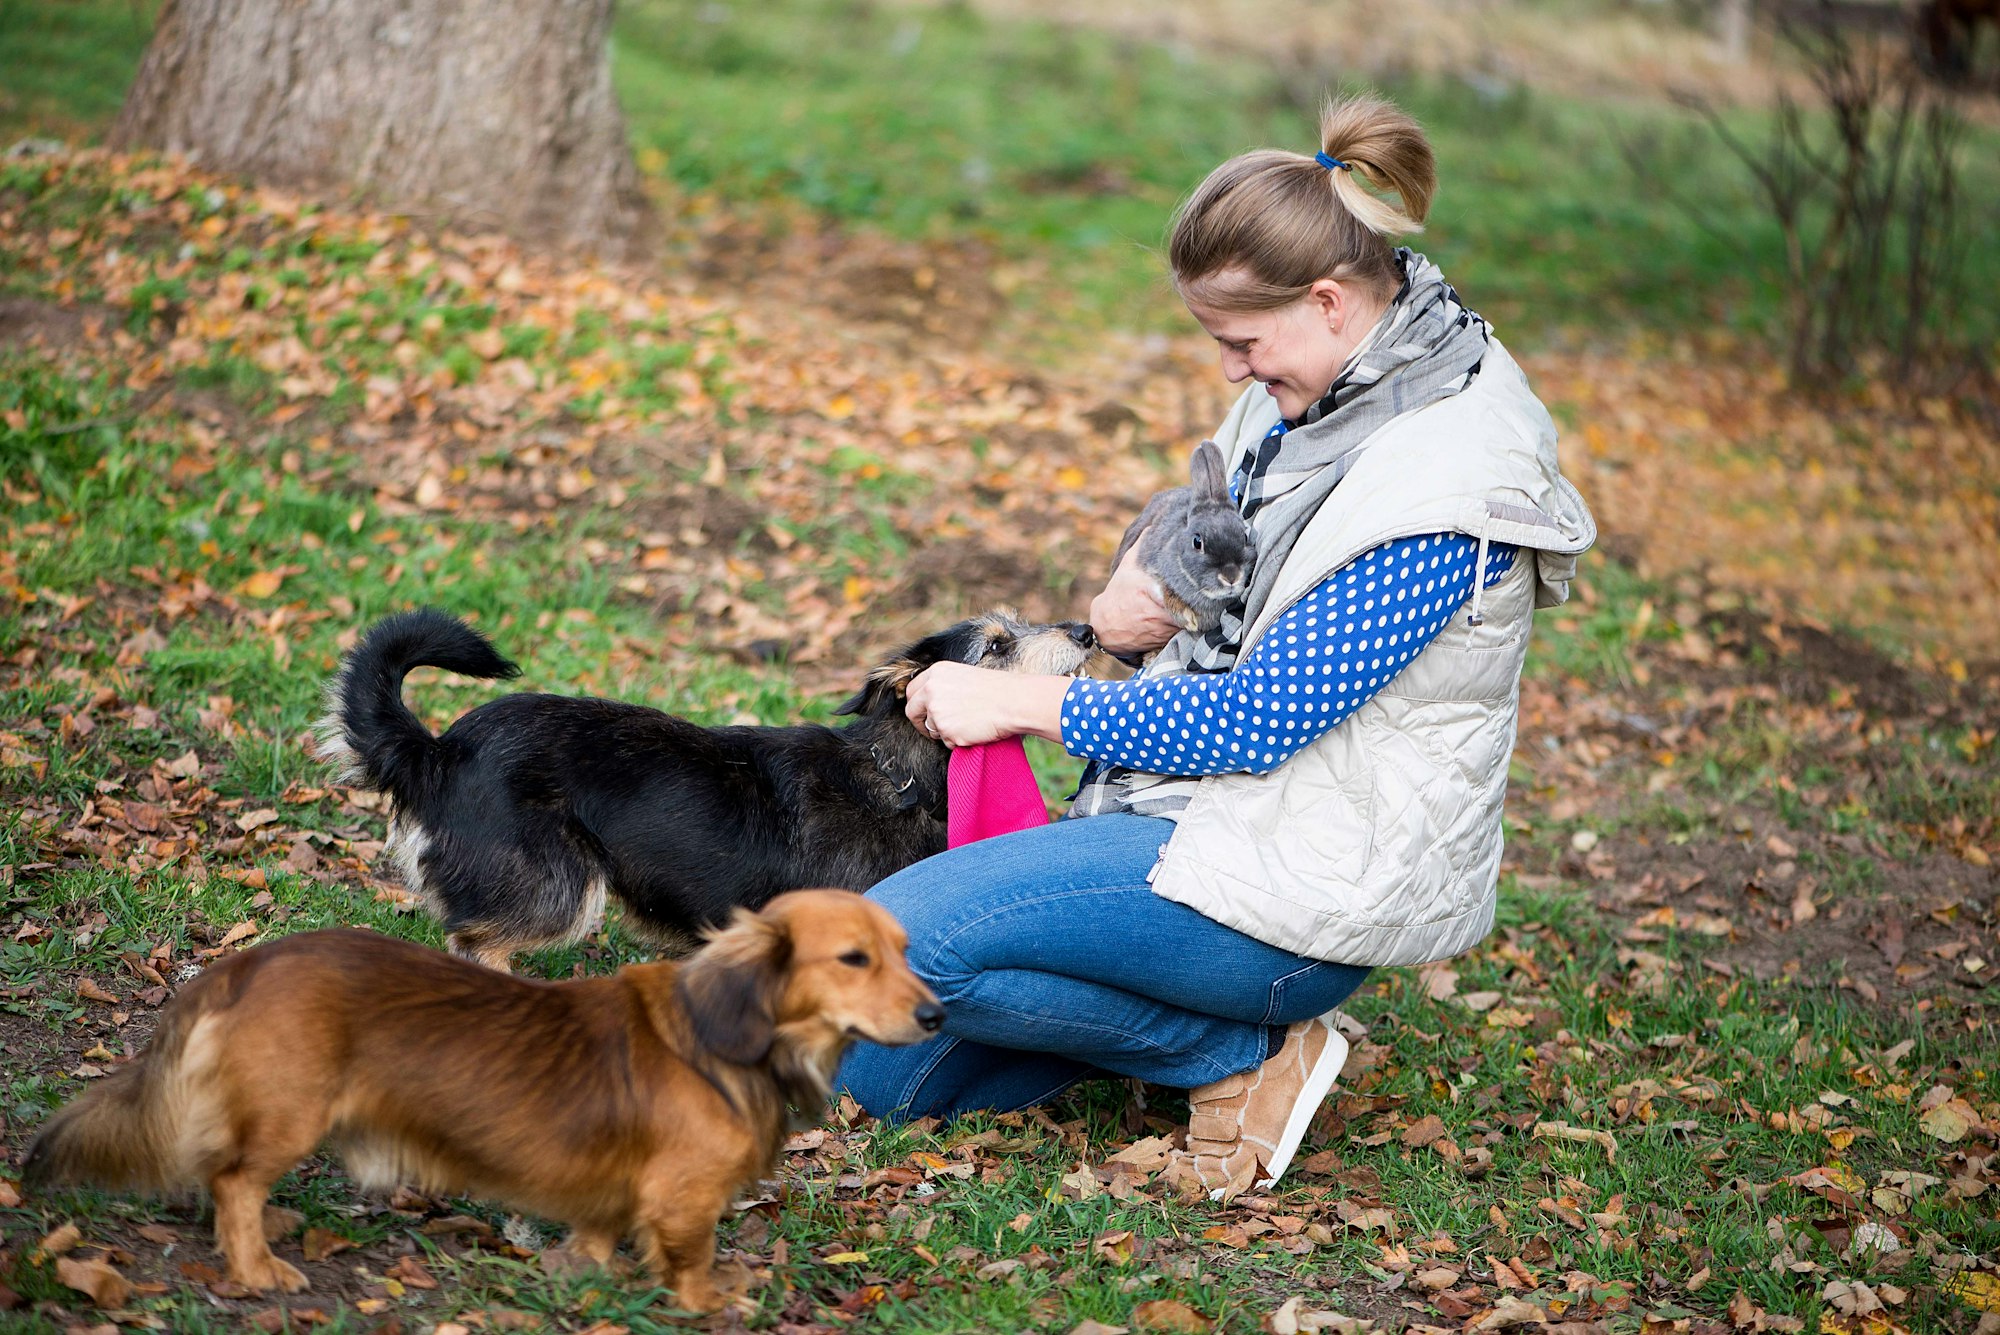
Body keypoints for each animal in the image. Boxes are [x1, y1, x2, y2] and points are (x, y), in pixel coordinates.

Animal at [320, 607, 1120, 971]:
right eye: (997, 646)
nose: (1086, 630)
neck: (900, 777)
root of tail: (439, 751)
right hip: (559, 891)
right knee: (474, 940)